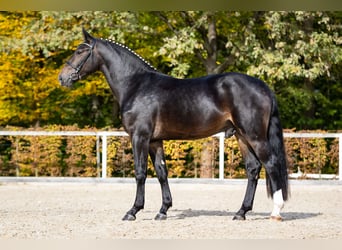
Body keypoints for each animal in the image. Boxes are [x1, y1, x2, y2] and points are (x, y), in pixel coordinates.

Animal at [58, 28, 288, 222]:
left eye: (80, 51)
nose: (62, 78)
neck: (136, 85)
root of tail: (264, 87)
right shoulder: (155, 141)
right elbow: (161, 173)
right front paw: (163, 210)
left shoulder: (139, 137)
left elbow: (140, 173)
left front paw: (133, 211)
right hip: (241, 136)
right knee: (253, 168)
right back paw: (241, 212)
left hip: (254, 136)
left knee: (271, 164)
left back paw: (276, 211)